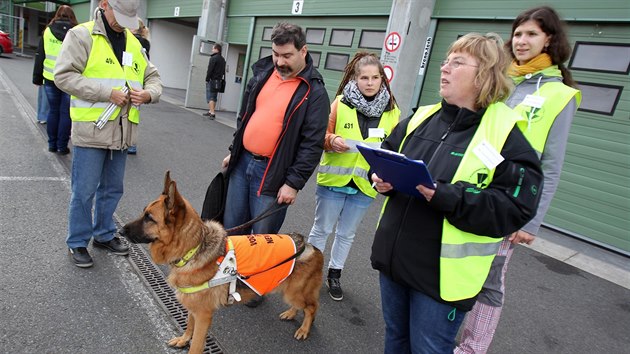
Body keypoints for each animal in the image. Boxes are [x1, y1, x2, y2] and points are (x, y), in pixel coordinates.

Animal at [122, 170, 326, 352]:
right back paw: (291, 313)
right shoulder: (193, 307)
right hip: (291, 291)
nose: (121, 231)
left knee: (312, 308)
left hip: (294, 293)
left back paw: (304, 329)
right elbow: (189, 325)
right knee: (303, 306)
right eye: (144, 213)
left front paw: (189, 343)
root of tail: (310, 246)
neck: (193, 248)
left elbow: (196, 345)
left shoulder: (203, 316)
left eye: (149, 218)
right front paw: (184, 339)